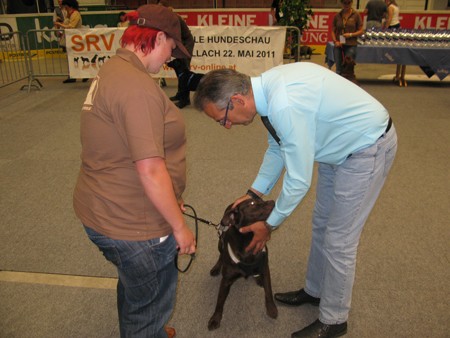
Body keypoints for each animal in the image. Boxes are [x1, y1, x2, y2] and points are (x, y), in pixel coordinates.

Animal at [208, 198, 278, 330]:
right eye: (252, 203)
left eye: (261, 199)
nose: (272, 201)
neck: (249, 239)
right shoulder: (226, 280)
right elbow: (220, 301)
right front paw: (215, 318)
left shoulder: (265, 268)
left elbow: (268, 290)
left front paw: (271, 308)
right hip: (220, 243)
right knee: (221, 255)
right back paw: (216, 268)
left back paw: (258, 278)